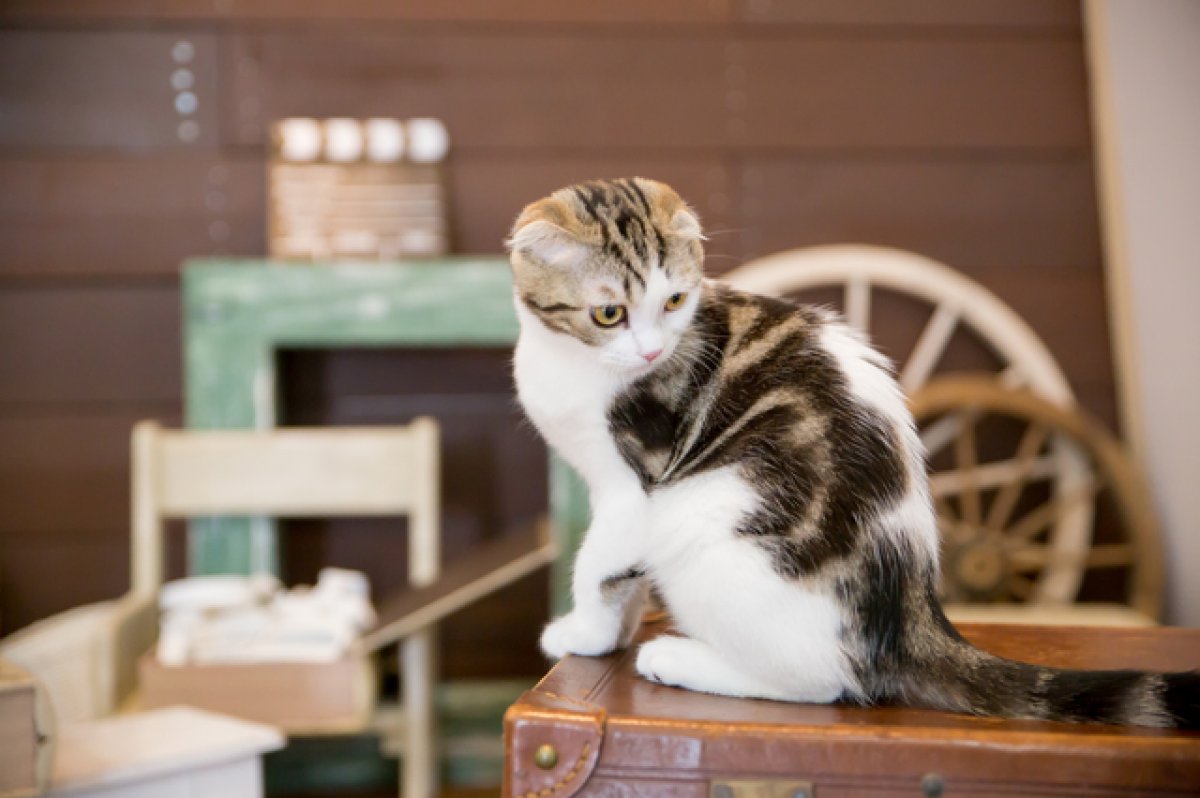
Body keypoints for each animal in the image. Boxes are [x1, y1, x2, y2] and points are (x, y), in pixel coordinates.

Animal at [506, 176, 1200, 729]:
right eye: (609, 313)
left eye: (675, 301)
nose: (652, 351)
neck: (570, 360)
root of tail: (911, 616)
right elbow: (620, 575)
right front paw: (614, 631)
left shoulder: (634, 487)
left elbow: (598, 565)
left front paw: (584, 635)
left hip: (705, 520)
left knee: (827, 683)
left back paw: (680, 659)